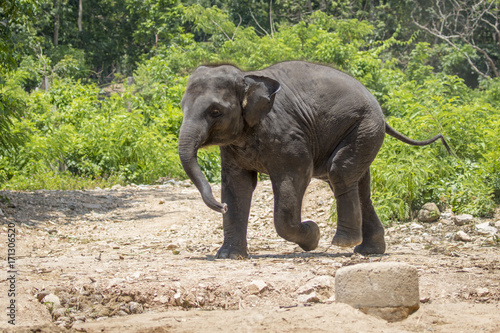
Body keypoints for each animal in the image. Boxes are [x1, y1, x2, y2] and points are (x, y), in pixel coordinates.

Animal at [179, 61, 450, 260]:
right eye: (182, 107)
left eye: (215, 111)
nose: (219, 206)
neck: (248, 77)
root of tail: (381, 113)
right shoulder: (234, 146)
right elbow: (237, 185)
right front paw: (227, 256)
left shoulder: (288, 137)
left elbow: (296, 176)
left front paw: (313, 235)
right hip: (363, 132)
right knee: (356, 185)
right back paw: (368, 251)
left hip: (363, 127)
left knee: (339, 172)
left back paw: (343, 242)